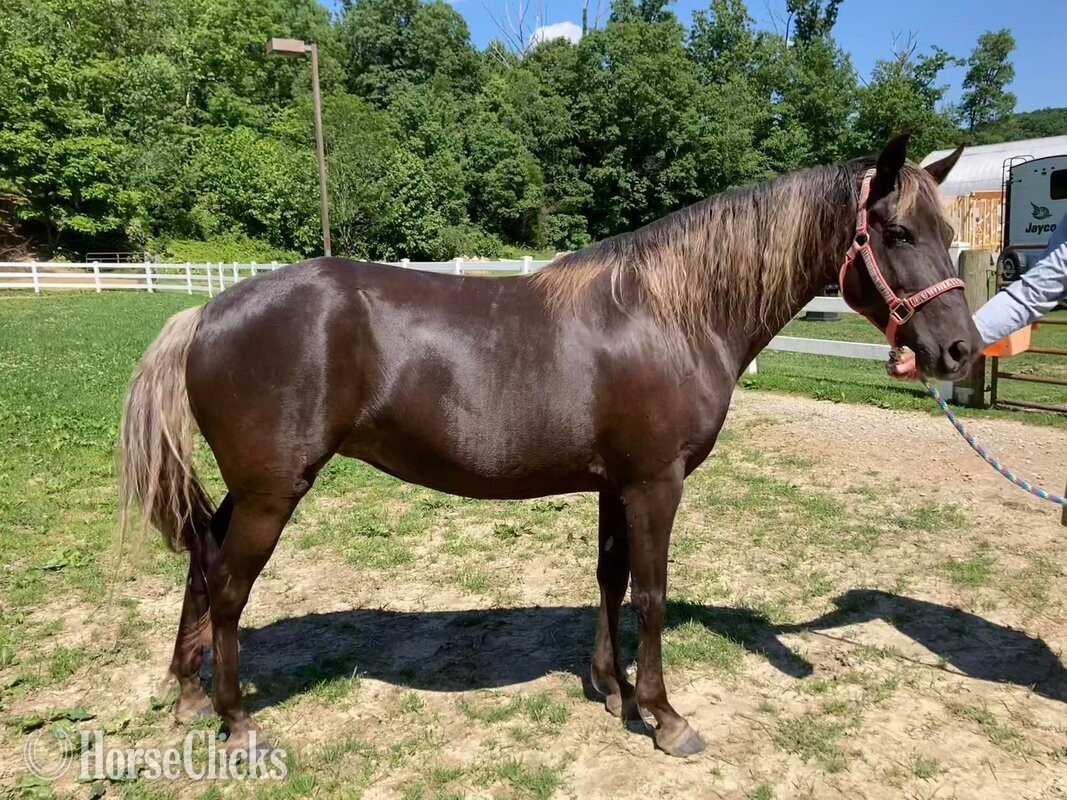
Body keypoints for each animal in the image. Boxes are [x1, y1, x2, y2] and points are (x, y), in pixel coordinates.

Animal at [118, 133, 977, 758]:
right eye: (896, 232)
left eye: (947, 232)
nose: (960, 351)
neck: (673, 311)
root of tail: (207, 310)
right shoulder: (655, 484)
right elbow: (650, 594)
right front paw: (663, 715)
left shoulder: (613, 484)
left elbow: (608, 580)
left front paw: (610, 687)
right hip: (273, 492)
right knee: (231, 589)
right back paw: (237, 722)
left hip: (247, 489)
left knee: (201, 563)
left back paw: (189, 694)